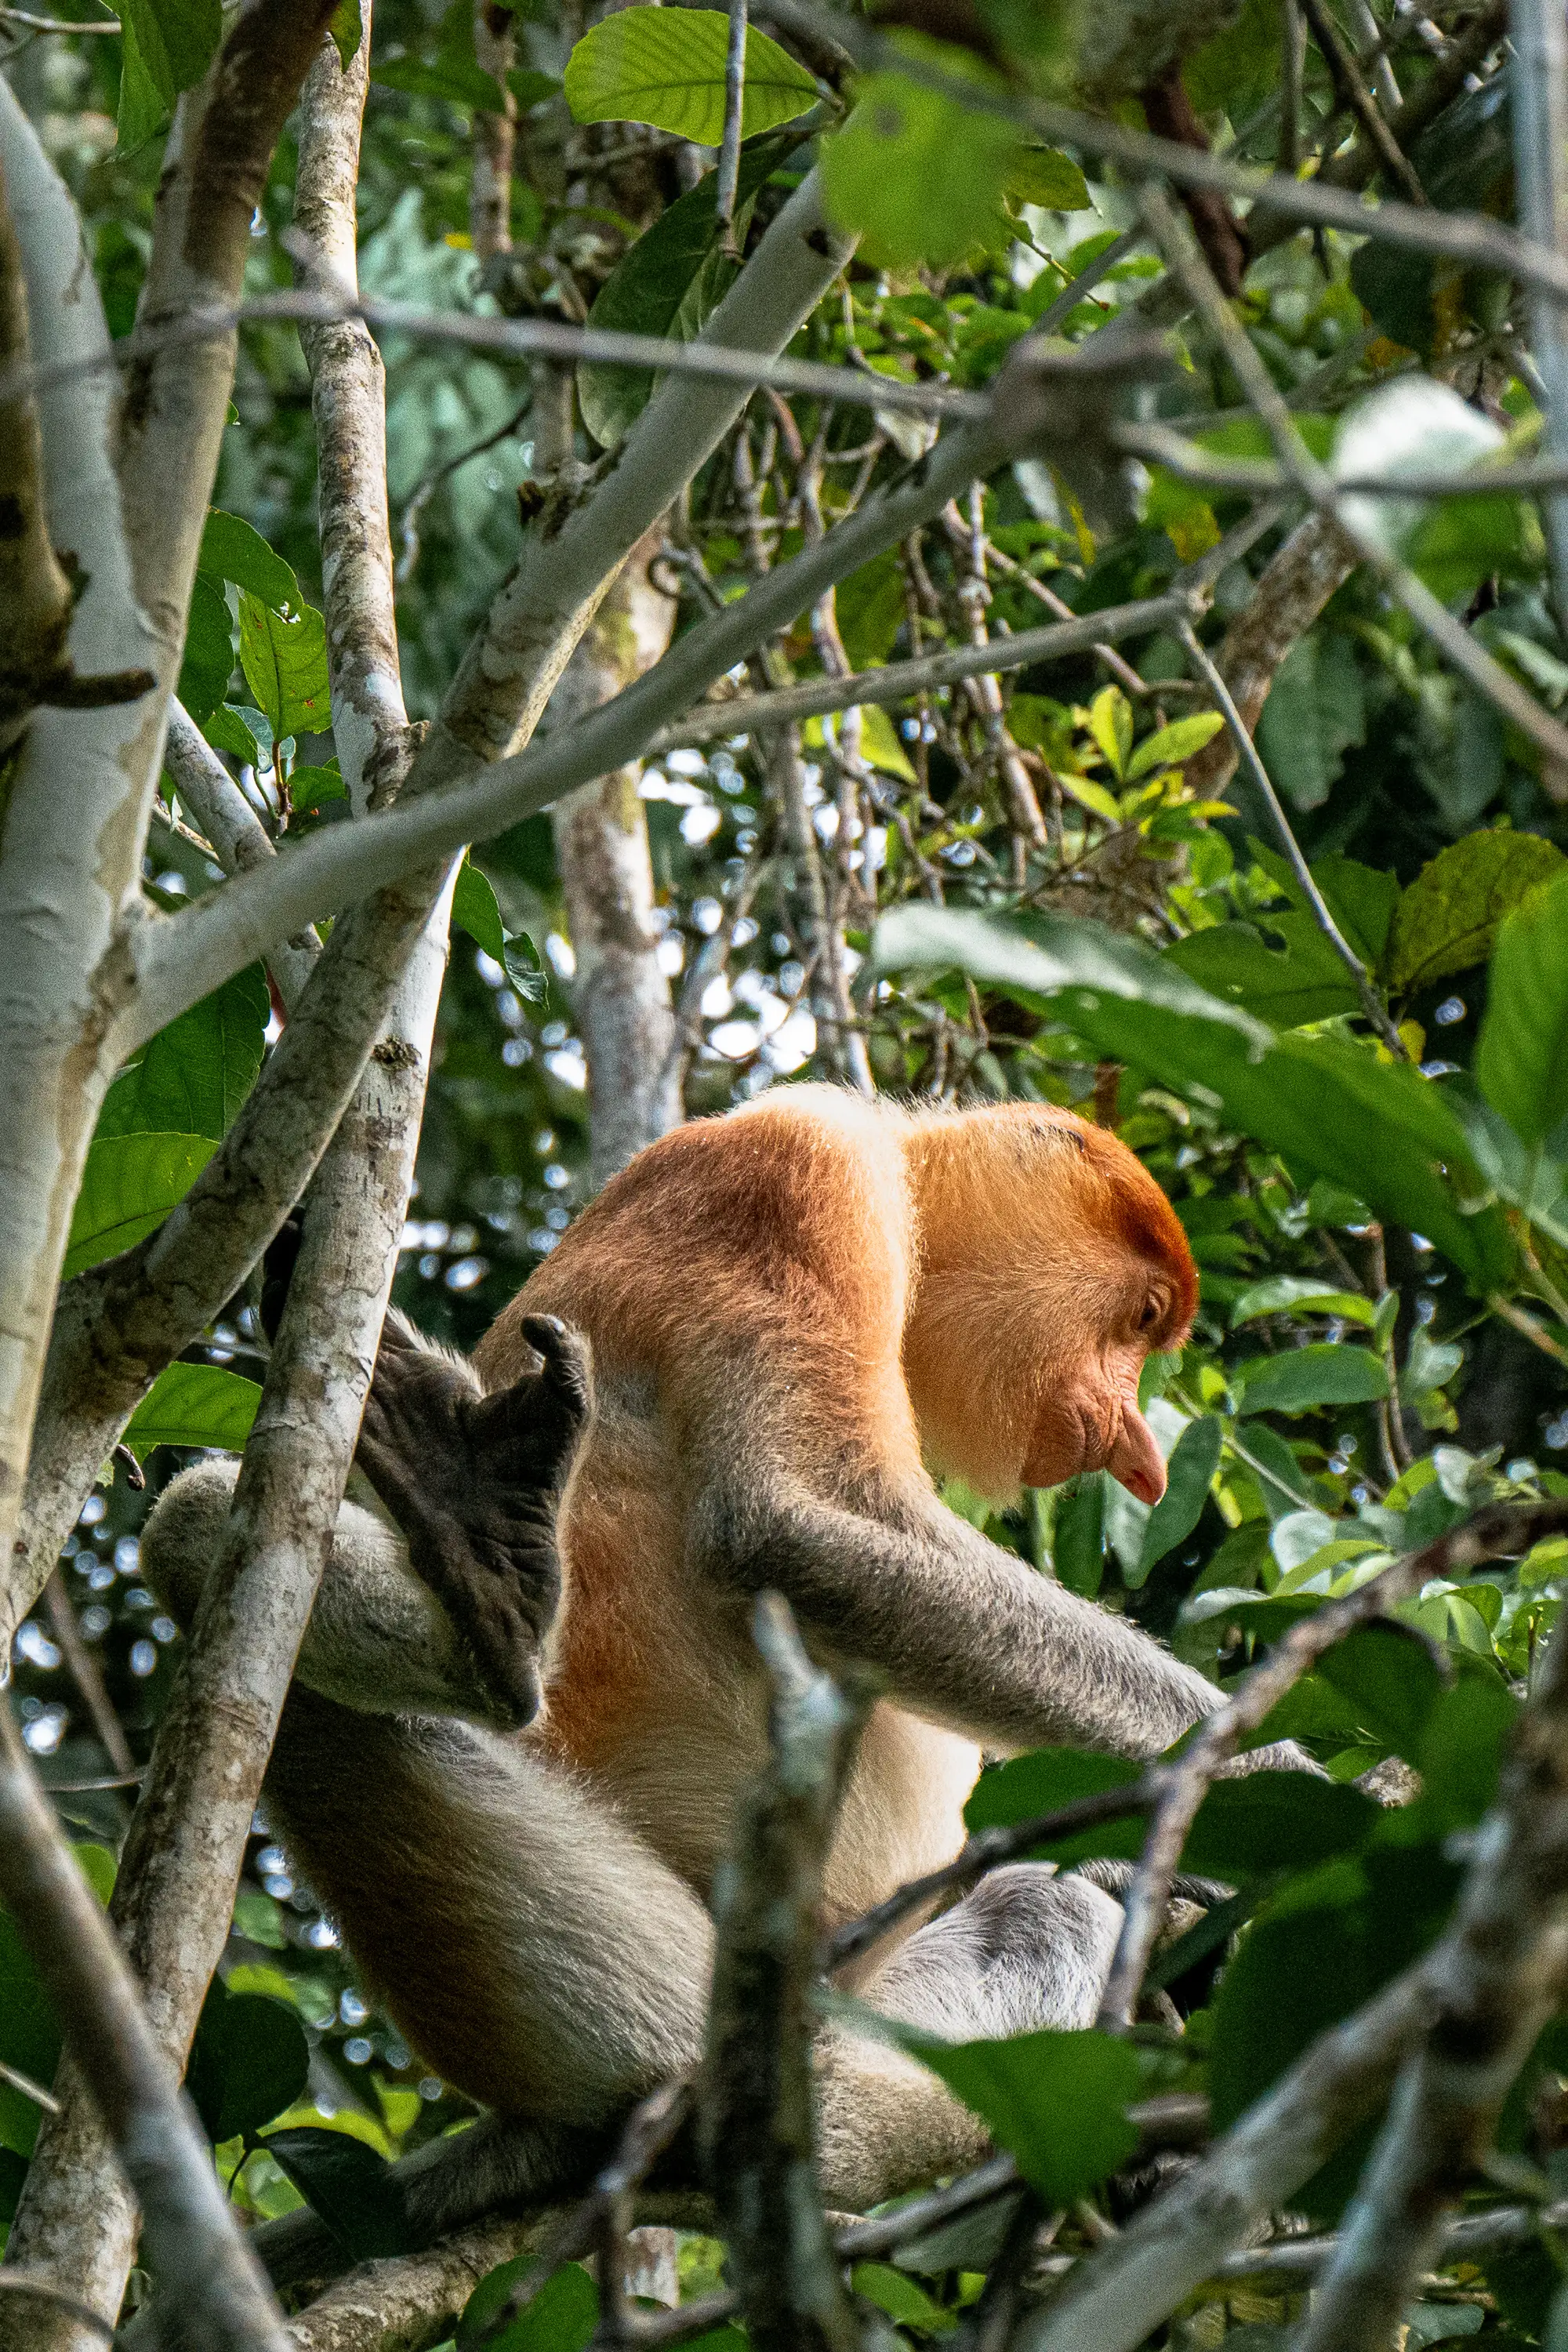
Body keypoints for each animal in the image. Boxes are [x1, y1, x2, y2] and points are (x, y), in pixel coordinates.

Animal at [144, 1086, 1292, 2252]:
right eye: (1144, 1317)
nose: (1138, 1453)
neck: (905, 1176)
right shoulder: (802, 1169)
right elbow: (795, 1524)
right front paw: (1288, 1778)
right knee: (199, 1531)